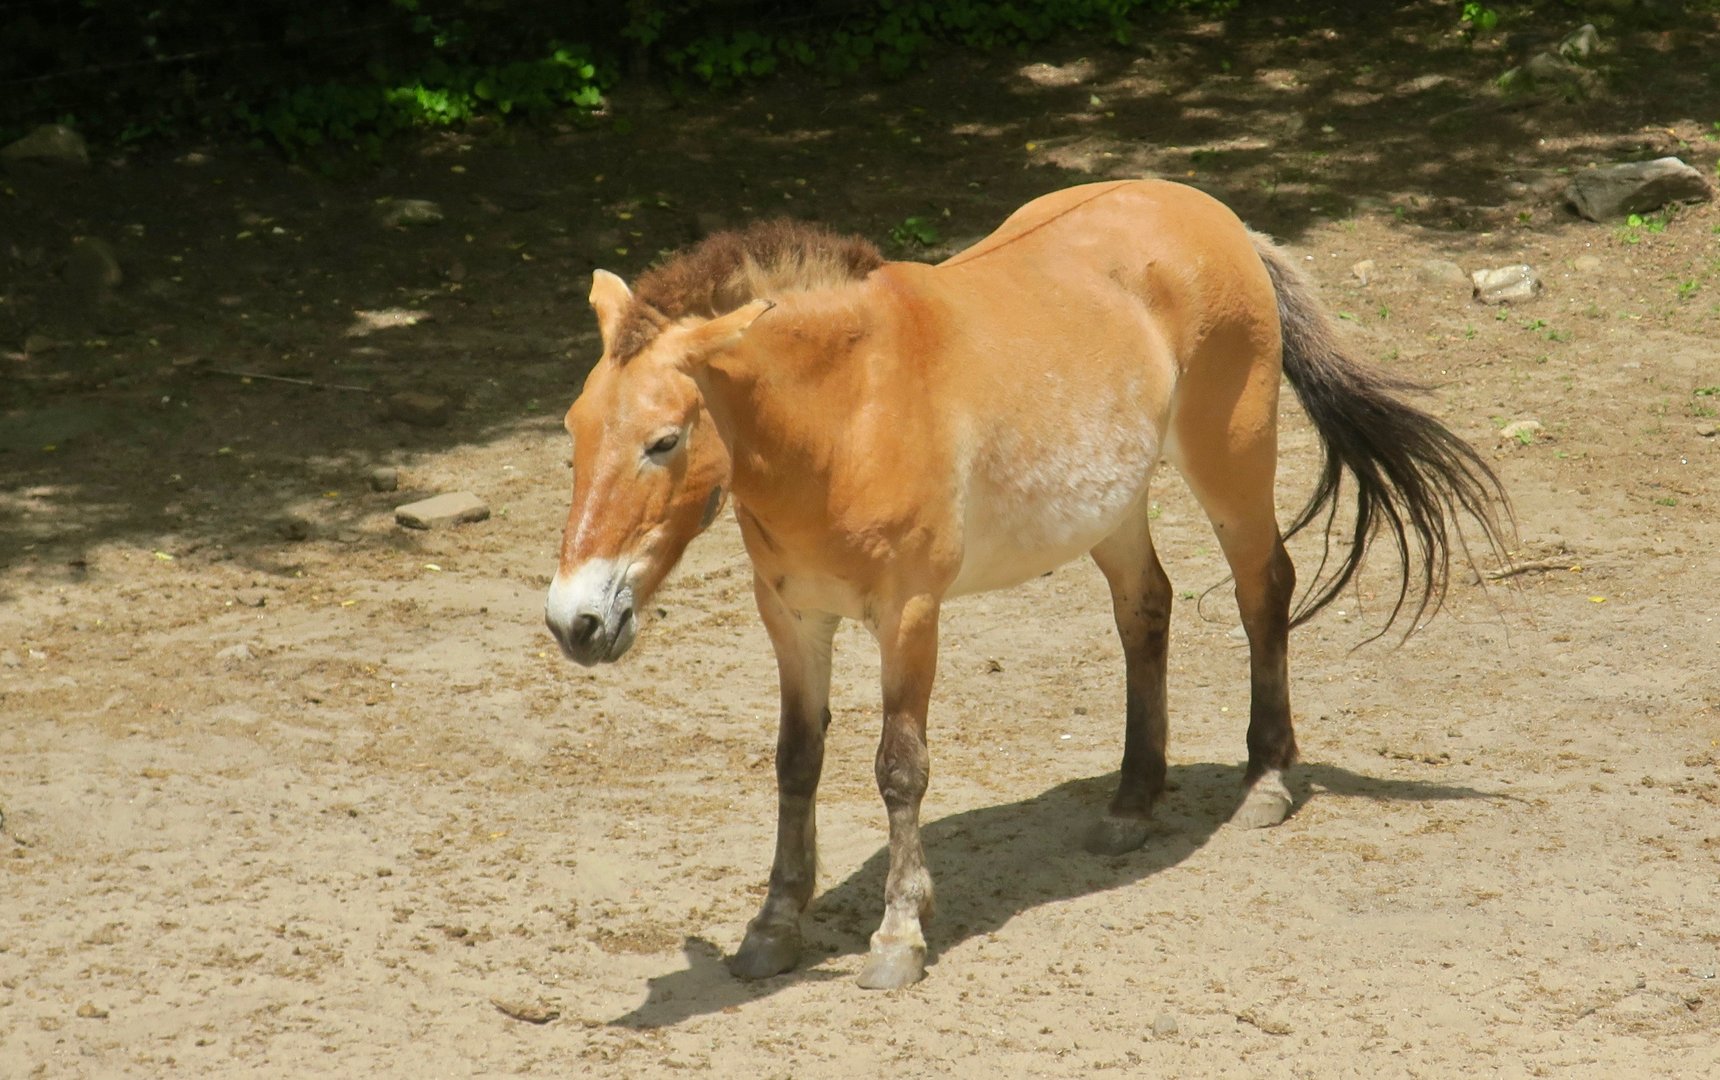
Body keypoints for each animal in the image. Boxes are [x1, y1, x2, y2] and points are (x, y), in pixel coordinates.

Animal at [544, 179, 1510, 990]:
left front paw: (898, 935)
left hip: (1231, 464)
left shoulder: (909, 615)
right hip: (1113, 507)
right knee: (1146, 609)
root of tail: (1214, 214)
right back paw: (1130, 804)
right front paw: (773, 927)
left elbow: (899, 768)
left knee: (1263, 589)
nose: (574, 622)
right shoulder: (792, 616)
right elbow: (796, 762)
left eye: (664, 441)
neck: (846, 411)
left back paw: (1266, 780)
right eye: (574, 429)